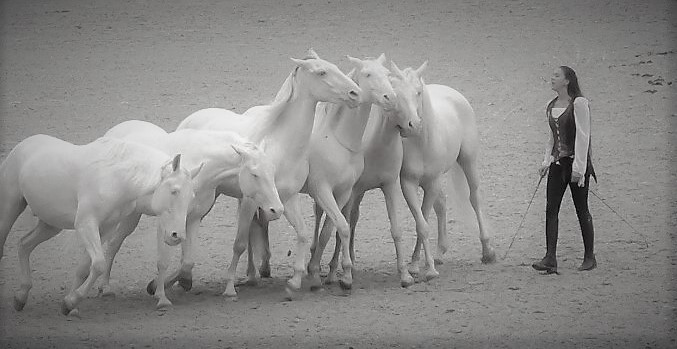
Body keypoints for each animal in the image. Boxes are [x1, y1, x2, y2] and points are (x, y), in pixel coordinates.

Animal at [0, 135, 198, 314]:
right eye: (174, 191)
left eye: (192, 197)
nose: (177, 236)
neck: (116, 178)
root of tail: (24, 144)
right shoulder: (86, 224)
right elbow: (99, 264)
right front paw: (71, 302)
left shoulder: (105, 229)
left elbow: (84, 268)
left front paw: (70, 304)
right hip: (10, 208)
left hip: (50, 225)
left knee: (24, 245)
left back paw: (21, 296)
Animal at [103, 119, 286, 304]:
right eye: (255, 174)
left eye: (272, 170)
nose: (277, 209)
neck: (198, 168)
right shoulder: (165, 221)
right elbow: (163, 261)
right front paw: (161, 295)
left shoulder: (193, 218)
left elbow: (188, 262)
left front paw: (173, 283)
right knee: (112, 245)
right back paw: (105, 288)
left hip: (132, 215)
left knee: (112, 244)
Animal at [177, 47, 362, 294]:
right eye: (322, 72)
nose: (355, 93)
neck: (280, 144)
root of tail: (189, 119)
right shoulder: (250, 199)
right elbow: (239, 243)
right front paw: (230, 288)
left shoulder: (287, 198)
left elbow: (303, 233)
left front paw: (295, 282)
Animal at [304, 53, 398, 290]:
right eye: (367, 74)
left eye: (387, 74)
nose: (390, 98)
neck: (338, 140)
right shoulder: (323, 189)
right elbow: (340, 227)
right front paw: (331, 275)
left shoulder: (344, 192)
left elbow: (332, 230)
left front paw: (322, 272)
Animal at [390, 61, 496, 276]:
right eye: (397, 94)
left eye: (418, 92)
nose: (412, 125)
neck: (422, 144)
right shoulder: (409, 184)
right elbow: (421, 222)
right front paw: (415, 264)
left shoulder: (432, 183)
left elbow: (423, 221)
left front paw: (420, 266)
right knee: (441, 204)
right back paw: (440, 253)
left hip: (468, 161)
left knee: (474, 199)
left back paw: (487, 250)